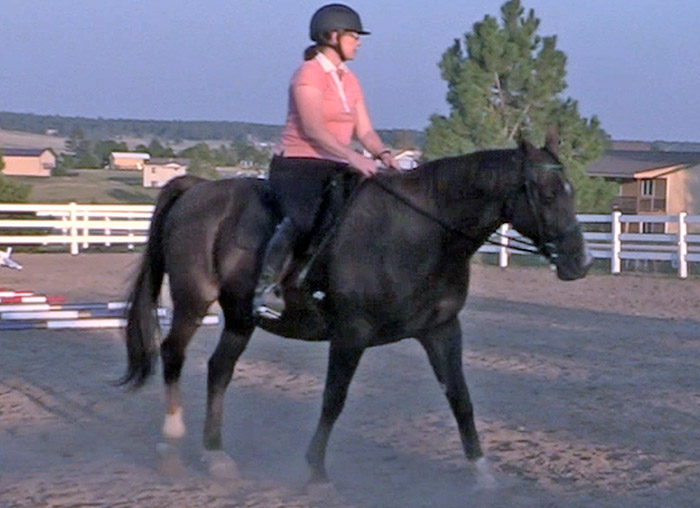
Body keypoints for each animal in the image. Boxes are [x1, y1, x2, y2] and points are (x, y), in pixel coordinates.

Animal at [120, 128, 592, 485]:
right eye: (546, 193)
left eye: (570, 191)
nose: (581, 263)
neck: (419, 232)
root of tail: (197, 187)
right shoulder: (351, 334)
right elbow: (334, 399)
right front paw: (315, 471)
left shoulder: (441, 330)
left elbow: (460, 398)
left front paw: (483, 475)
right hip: (193, 301)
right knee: (173, 355)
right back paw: (171, 443)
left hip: (239, 316)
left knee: (219, 370)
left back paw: (215, 455)